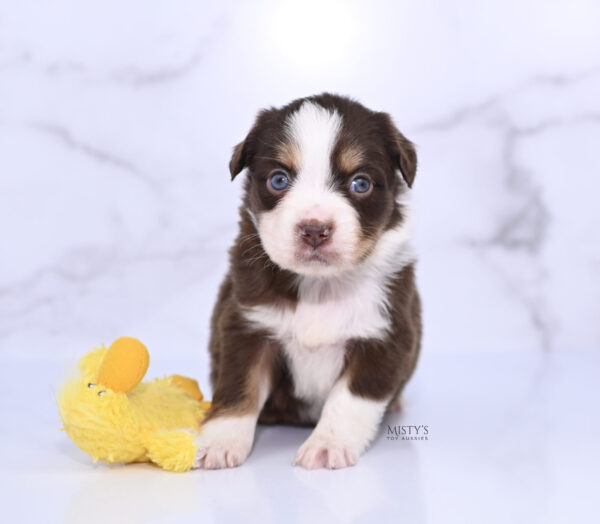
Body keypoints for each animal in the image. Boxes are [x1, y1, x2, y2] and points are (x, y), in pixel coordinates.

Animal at [197, 94, 422, 470]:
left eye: (360, 183)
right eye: (278, 180)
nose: (315, 229)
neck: (320, 287)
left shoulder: (384, 335)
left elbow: (349, 399)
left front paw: (327, 445)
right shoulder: (247, 325)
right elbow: (239, 386)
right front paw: (220, 441)